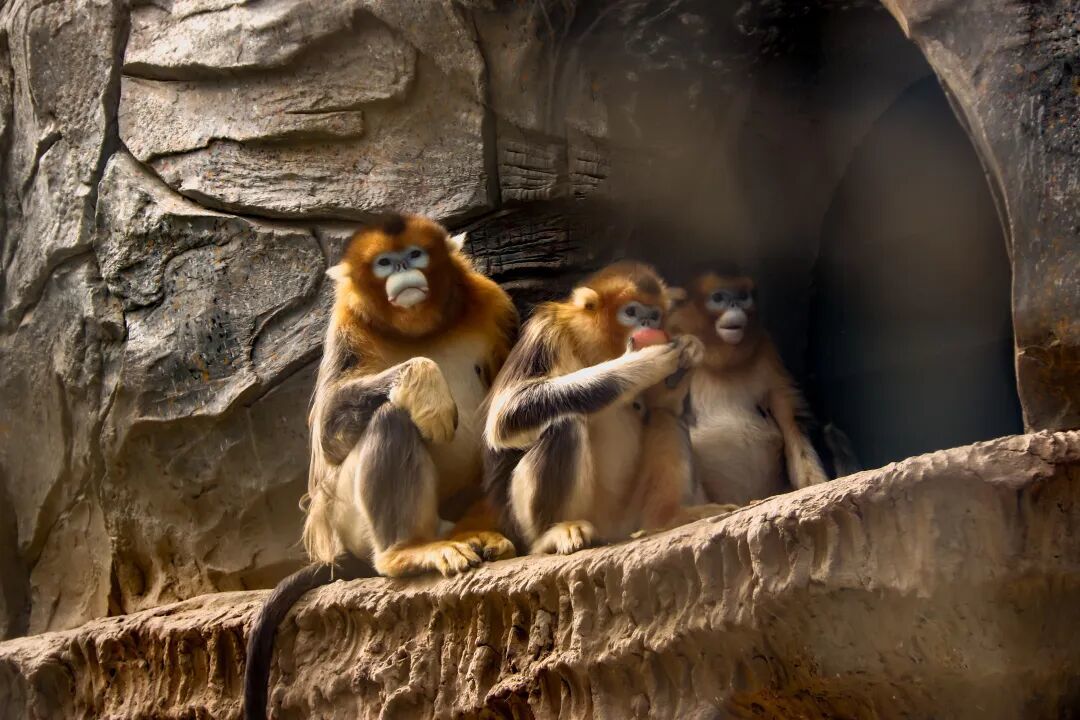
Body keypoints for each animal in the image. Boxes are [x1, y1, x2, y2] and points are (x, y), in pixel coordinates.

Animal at [244, 214, 518, 720]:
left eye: (415, 255)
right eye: (384, 263)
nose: (403, 272)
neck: (418, 331)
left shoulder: (493, 301)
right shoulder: (346, 324)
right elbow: (328, 431)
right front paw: (427, 387)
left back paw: (476, 532)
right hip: (349, 519)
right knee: (390, 415)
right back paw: (408, 552)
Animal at [482, 261, 711, 555]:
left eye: (654, 314)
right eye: (631, 312)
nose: (648, 323)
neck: (599, 347)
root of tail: (612, 530)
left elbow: (662, 404)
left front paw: (689, 349)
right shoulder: (546, 330)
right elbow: (507, 414)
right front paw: (645, 362)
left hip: (631, 513)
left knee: (666, 416)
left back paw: (670, 517)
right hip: (527, 522)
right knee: (564, 422)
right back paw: (556, 532)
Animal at [666, 273, 829, 507]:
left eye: (743, 296)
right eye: (719, 298)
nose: (734, 304)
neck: (723, 363)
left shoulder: (765, 347)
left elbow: (788, 416)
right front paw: (685, 350)